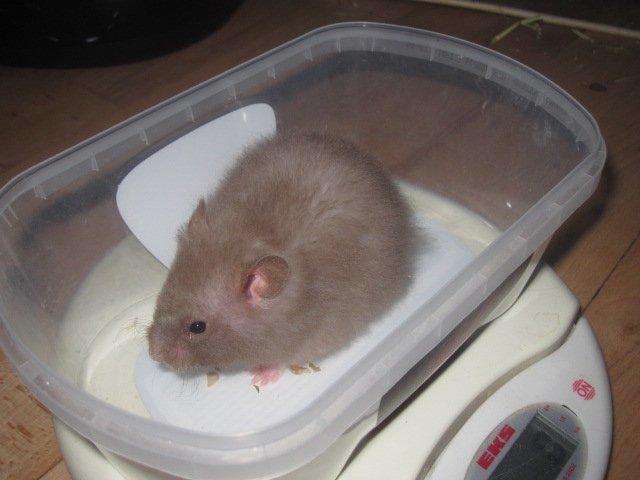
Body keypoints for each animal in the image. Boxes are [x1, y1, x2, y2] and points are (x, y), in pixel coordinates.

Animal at [147, 132, 420, 381]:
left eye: (197, 327)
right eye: (162, 295)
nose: (153, 355)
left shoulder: (312, 337)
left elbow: (284, 360)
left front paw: (260, 376)